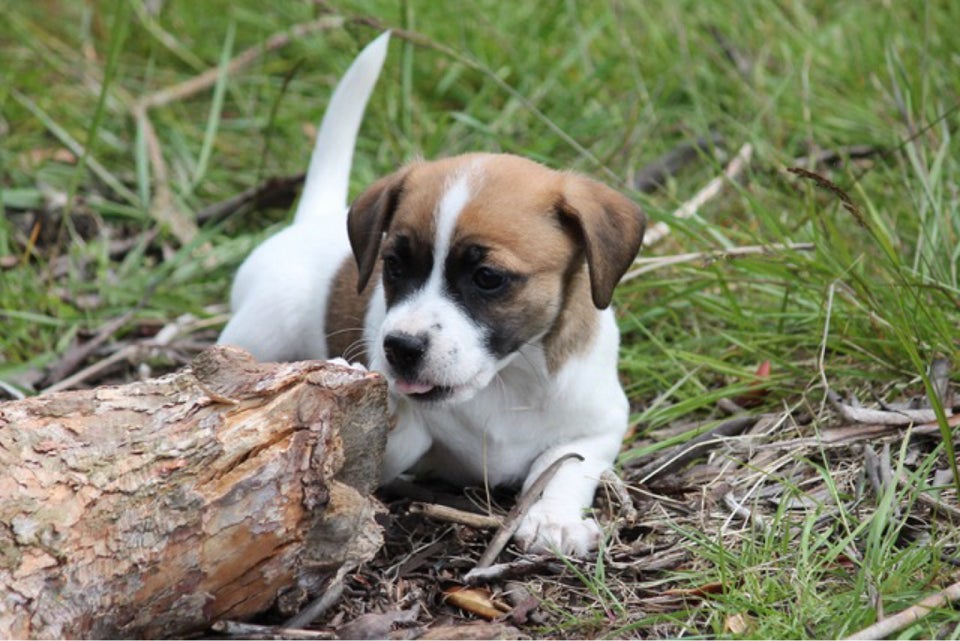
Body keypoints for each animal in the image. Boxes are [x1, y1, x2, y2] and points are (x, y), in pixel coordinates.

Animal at [221, 35, 648, 556]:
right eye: (394, 266)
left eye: (487, 277)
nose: (400, 349)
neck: (507, 381)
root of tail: (312, 220)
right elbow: (392, 444)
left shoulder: (601, 425)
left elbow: (566, 465)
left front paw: (555, 518)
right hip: (261, 330)